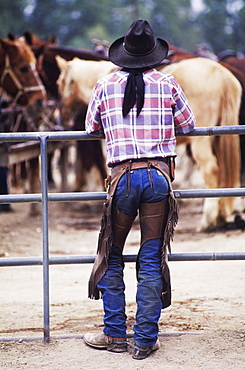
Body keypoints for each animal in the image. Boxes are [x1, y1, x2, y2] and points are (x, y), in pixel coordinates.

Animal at [56, 56, 242, 230]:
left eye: (60, 83)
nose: (60, 117)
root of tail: (221, 75)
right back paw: (221, 217)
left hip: (201, 143)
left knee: (211, 170)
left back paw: (208, 220)